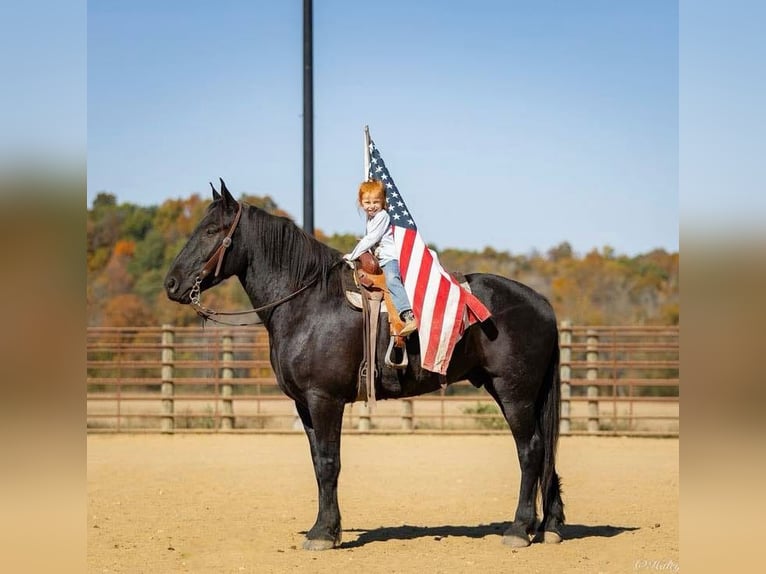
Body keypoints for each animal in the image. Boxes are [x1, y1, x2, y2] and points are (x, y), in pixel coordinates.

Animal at [166, 182, 564, 552]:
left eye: (211, 230)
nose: (171, 283)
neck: (307, 302)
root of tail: (542, 303)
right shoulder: (304, 405)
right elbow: (318, 462)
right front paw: (330, 528)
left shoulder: (324, 399)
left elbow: (329, 462)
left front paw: (322, 534)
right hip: (513, 392)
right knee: (545, 450)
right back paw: (550, 526)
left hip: (515, 394)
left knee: (530, 450)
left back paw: (519, 529)